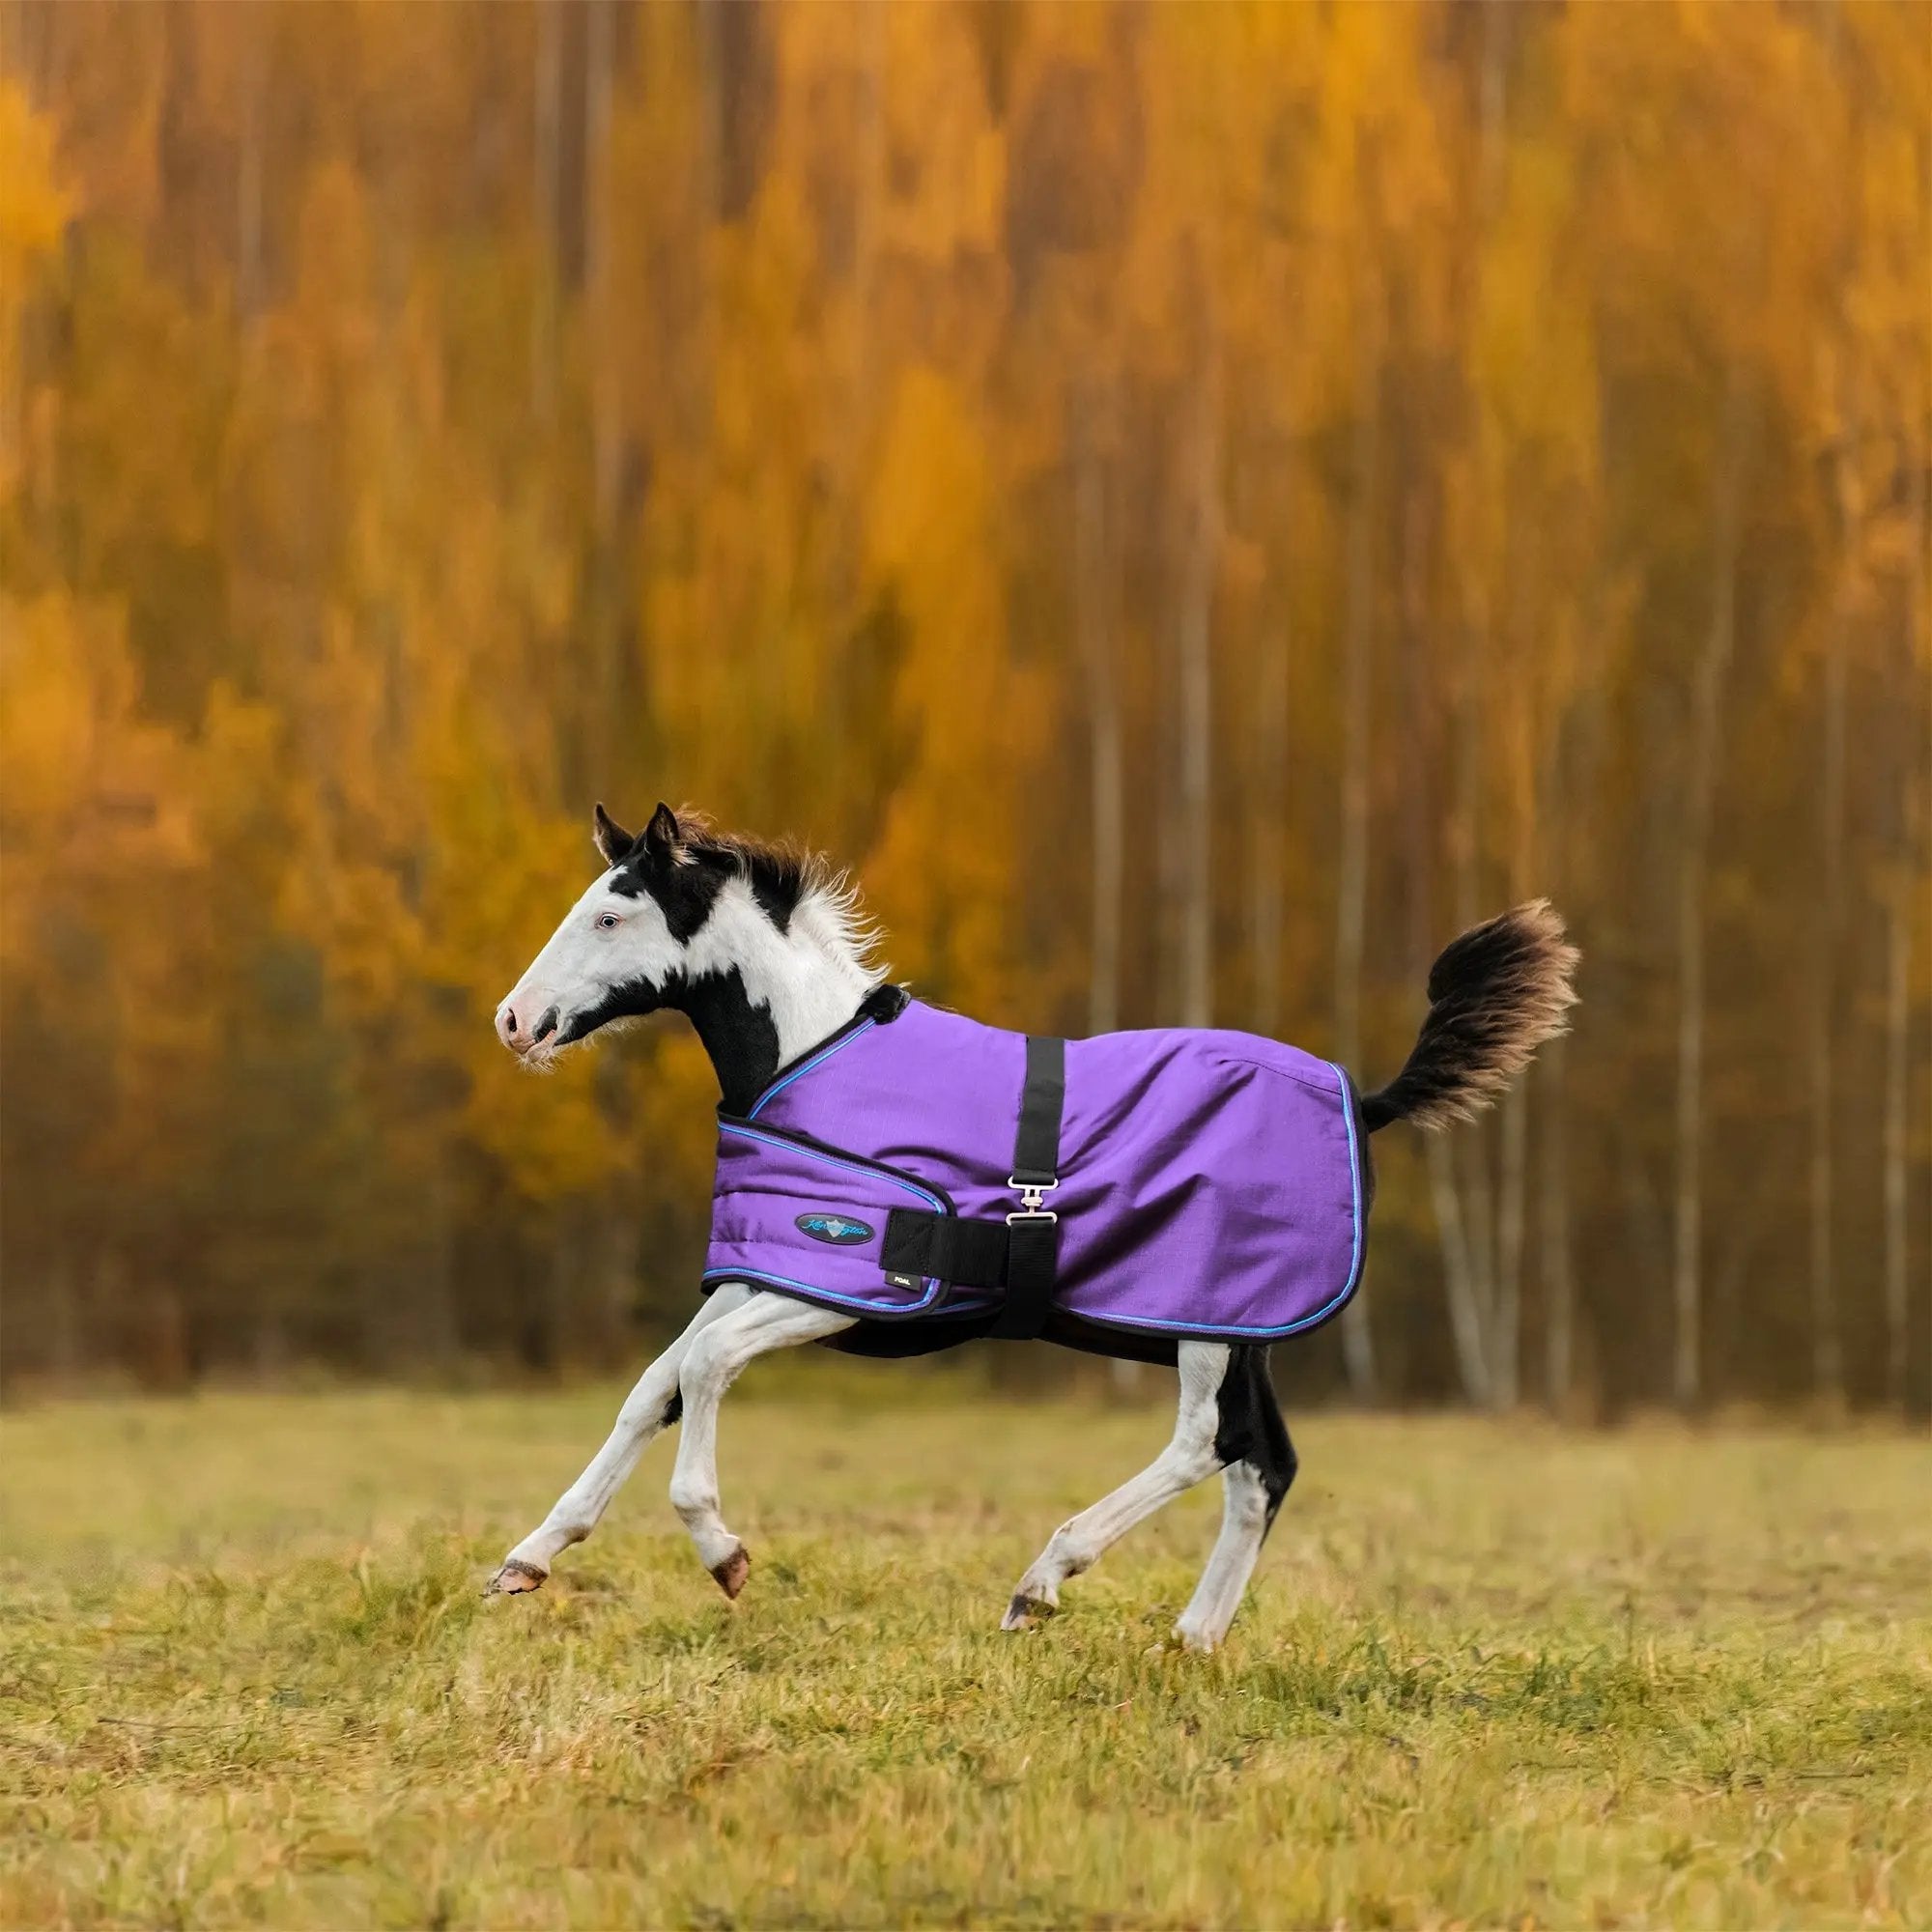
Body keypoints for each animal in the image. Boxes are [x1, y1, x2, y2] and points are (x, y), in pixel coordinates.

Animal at [486, 802, 1577, 1651]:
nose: (514, 1020)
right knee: (1262, 1465)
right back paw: (1189, 1640)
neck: (810, 1058)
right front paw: (528, 1558)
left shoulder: (856, 1289)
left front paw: (724, 1553)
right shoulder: (766, 1272)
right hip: (1242, 1331)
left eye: (611, 912)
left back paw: (1043, 1579)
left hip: (1206, 1324)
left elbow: (705, 1371)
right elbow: (656, 1385)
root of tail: (1367, 1101)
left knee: (1204, 1444)